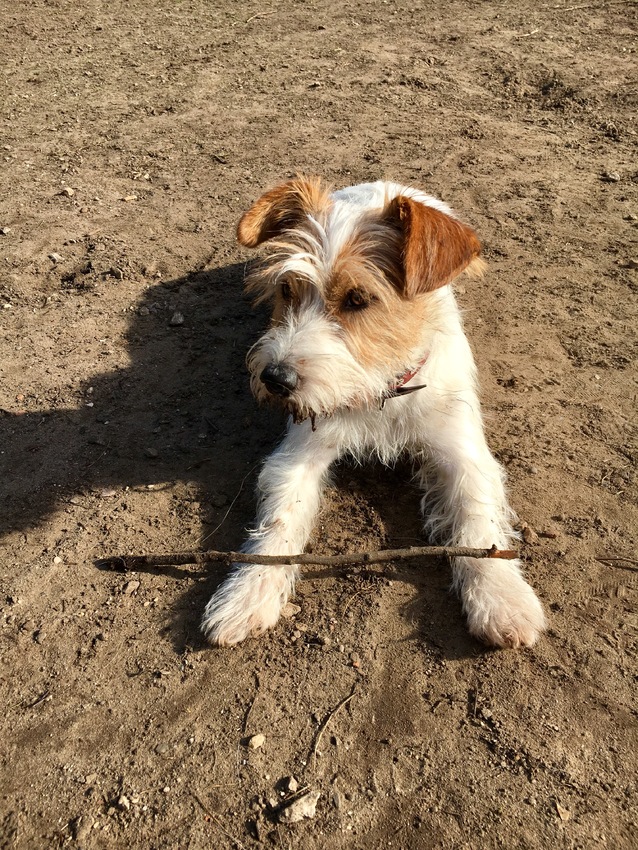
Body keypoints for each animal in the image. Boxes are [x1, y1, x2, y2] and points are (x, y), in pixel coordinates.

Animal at [202, 177, 546, 649]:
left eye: (359, 298)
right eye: (287, 290)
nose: (274, 378)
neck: (382, 390)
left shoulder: (462, 452)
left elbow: (477, 517)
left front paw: (501, 596)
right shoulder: (299, 453)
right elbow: (279, 521)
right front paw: (247, 593)